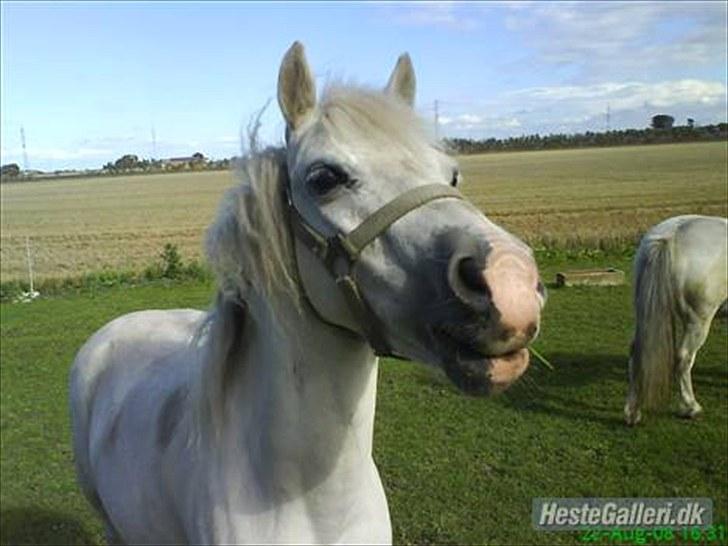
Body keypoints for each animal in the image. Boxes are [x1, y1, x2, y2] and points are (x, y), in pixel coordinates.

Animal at [624, 215, 727, 425]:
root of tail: (670, 236)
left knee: (635, 353)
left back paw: (633, 413)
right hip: (698, 322)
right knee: (684, 358)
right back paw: (691, 408)